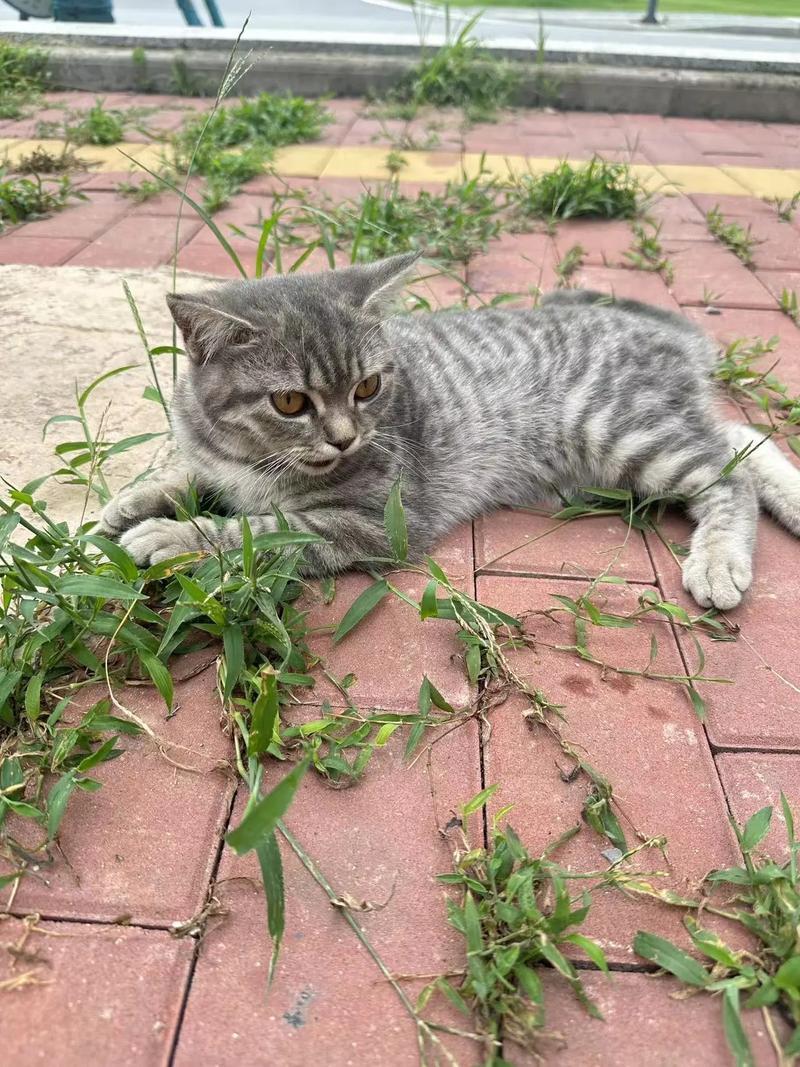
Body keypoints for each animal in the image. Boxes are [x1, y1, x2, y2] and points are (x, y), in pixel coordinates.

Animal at [101, 250, 800, 614]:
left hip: (622, 431)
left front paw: (173, 536)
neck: (253, 457)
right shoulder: (213, 454)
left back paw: (720, 560)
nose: (344, 439)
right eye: (291, 401)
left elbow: (261, 530)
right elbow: (189, 471)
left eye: (367, 388)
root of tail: (666, 335)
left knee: (727, 479)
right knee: (737, 436)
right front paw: (133, 501)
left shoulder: (375, 522)